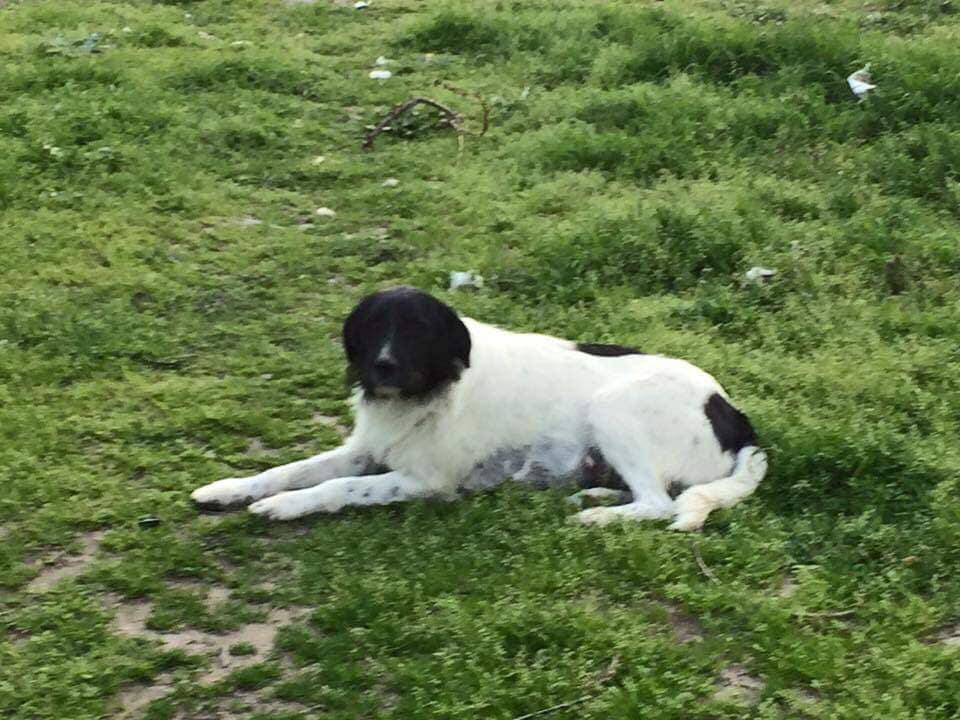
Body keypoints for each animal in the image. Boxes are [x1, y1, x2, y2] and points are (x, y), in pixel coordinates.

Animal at [191, 287, 767, 530]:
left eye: (418, 331)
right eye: (373, 327)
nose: (382, 367)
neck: (431, 392)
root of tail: (737, 417)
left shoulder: (426, 481)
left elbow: (337, 488)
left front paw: (285, 507)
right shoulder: (366, 449)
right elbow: (287, 469)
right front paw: (229, 489)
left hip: (614, 409)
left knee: (659, 503)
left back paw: (600, 515)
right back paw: (596, 493)